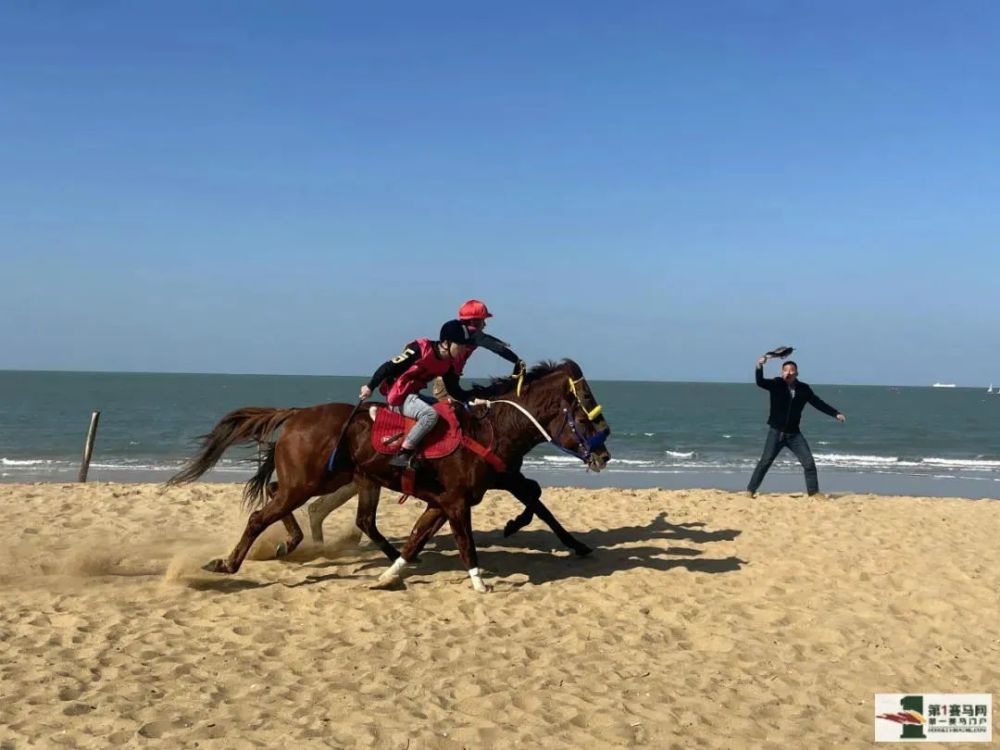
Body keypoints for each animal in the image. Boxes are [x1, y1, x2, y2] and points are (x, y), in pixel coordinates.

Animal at [169, 362, 608, 596]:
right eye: (586, 406)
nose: (604, 453)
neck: (488, 430)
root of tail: (297, 414)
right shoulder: (457, 502)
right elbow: (466, 541)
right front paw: (480, 582)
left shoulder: (446, 501)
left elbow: (417, 536)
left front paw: (389, 574)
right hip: (312, 481)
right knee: (262, 515)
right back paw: (228, 563)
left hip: (335, 479)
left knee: (327, 510)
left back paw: (292, 544)